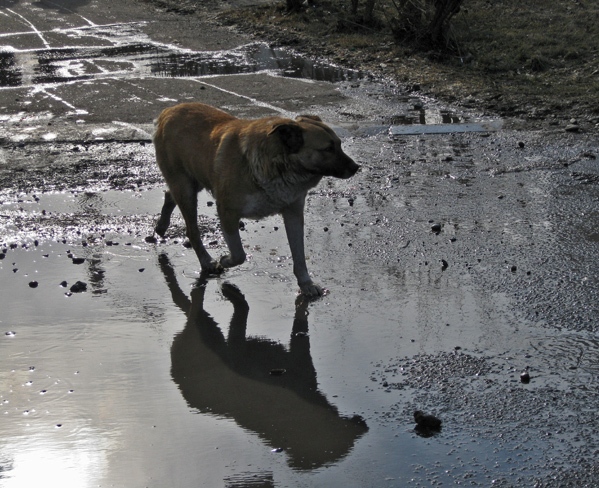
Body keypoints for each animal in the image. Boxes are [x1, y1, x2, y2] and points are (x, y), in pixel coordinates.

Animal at [155, 102, 360, 298]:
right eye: (328, 149)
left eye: (339, 144)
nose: (356, 167)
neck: (279, 163)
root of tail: (168, 111)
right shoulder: (227, 211)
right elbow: (239, 254)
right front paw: (225, 260)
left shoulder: (293, 213)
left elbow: (299, 256)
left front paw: (306, 285)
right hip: (186, 188)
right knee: (192, 231)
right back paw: (206, 262)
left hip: (193, 180)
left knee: (169, 194)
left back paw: (161, 226)